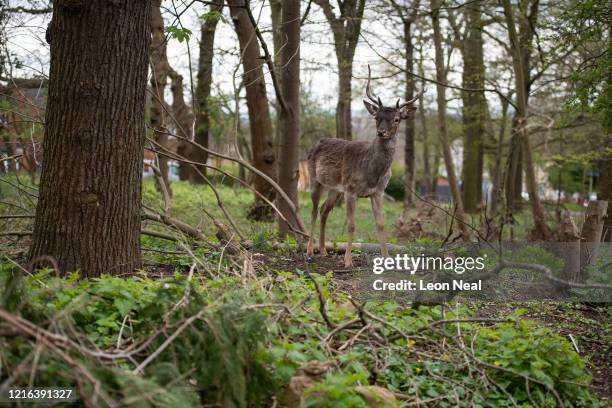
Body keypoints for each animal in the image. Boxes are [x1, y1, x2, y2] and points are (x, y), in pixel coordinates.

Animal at [308, 65, 424, 266]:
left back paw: (323, 251)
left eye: (396, 119)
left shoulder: (377, 192)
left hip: (335, 189)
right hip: (315, 179)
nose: (381, 132)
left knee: (323, 210)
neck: (372, 173)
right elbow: (351, 225)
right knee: (313, 211)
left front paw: (387, 258)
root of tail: (316, 144)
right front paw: (348, 261)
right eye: (376, 117)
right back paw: (308, 250)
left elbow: (381, 223)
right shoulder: (350, 190)